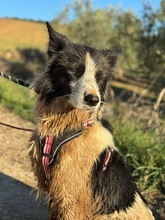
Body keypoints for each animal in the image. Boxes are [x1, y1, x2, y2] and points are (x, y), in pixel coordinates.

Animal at [28, 22, 155, 220]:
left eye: (99, 77)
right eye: (74, 72)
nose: (93, 100)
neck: (71, 126)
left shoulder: (70, 199)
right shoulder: (57, 194)